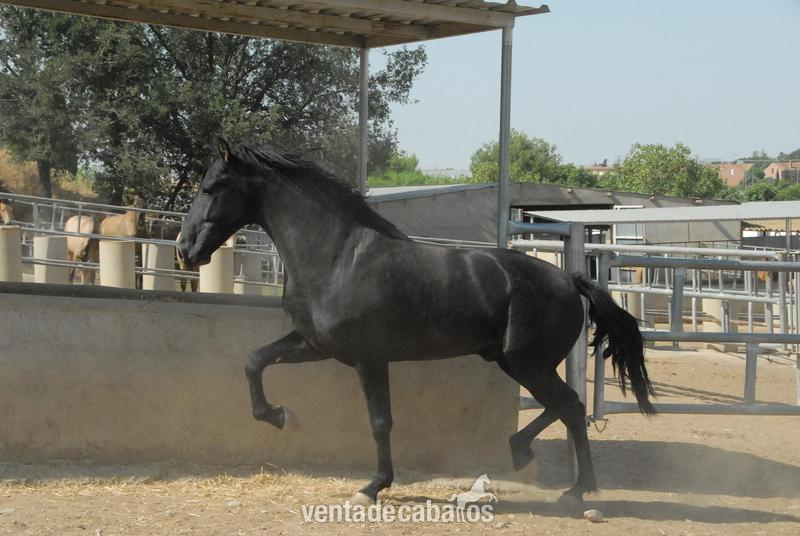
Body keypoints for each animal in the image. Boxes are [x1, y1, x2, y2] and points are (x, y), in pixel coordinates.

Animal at [177, 140, 655, 509]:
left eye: (210, 187)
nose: (185, 249)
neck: (337, 256)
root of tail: (569, 279)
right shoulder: (314, 345)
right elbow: (254, 361)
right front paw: (282, 417)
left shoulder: (369, 358)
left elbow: (380, 421)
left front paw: (372, 487)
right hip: (513, 362)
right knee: (562, 406)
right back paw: (523, 455)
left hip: (529, 364)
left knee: (570, 407)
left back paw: (575, 490)